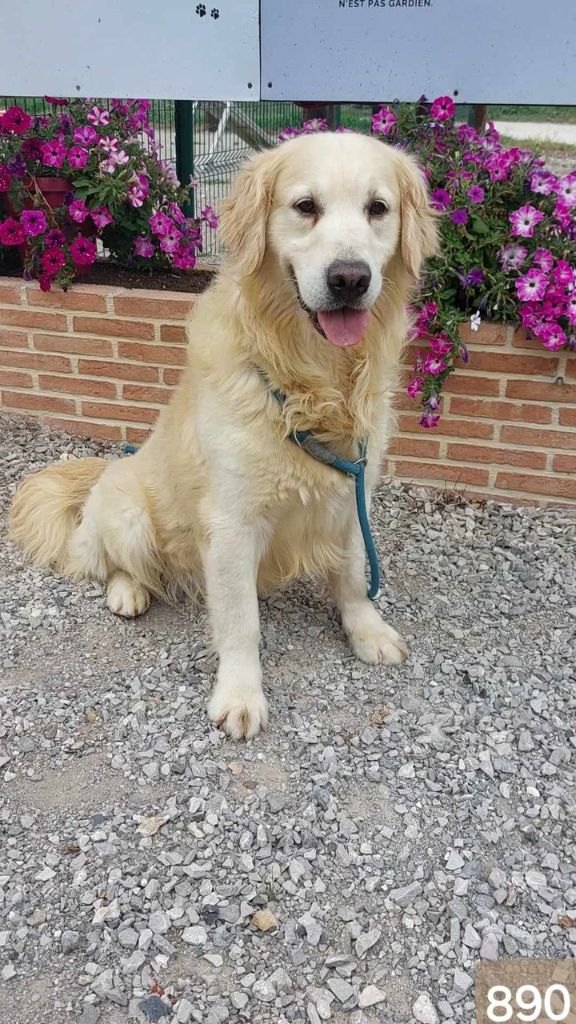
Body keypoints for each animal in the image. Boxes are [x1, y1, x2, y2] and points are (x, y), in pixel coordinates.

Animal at [10, 134, 434, 737]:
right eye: (305, 207)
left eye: (378, 208)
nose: (350, 278)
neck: (313, 383)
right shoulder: (232, 522)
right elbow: (240, 624)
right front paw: (239, 694)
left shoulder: (354, 495)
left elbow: (354, 574)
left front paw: (367, 631)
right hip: (131, 516)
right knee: (111, 562)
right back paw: (128, 591)